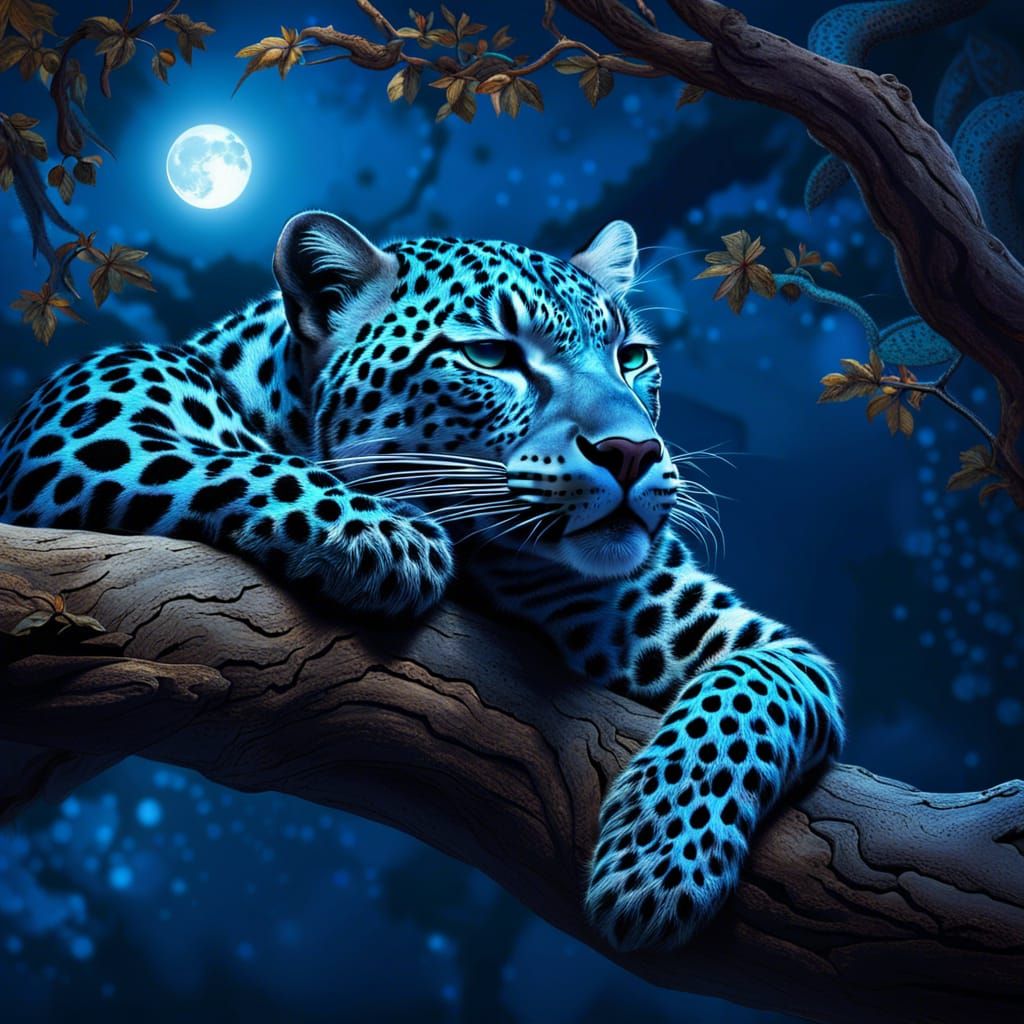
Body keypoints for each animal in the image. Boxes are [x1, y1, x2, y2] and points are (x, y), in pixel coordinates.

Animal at [0, 212, 844, 951]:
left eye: (631, 357)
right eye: (493, 357)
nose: (633, 452)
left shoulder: (726, 634)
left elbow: (759, 687)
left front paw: (658, 861)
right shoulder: (76, 431)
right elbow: (238, 455)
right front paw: (387, 534)